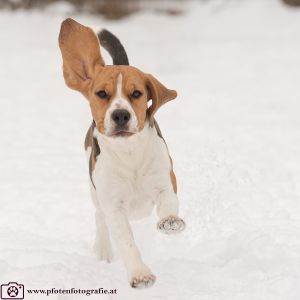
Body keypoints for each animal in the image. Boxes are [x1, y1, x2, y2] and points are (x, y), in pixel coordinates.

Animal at [58, 18, 185, 288]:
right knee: (99, 218)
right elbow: (127, 242)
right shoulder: (114, 206)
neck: (130, 154)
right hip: (95, 193)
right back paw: (103, 250)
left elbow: (169, 202)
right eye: (101, 94)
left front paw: (170, 222)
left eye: (136, 93)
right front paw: (140, 274)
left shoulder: (164, 182)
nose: (120, 115)